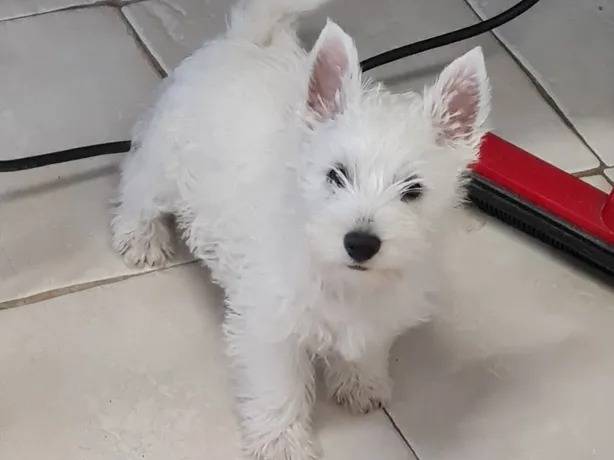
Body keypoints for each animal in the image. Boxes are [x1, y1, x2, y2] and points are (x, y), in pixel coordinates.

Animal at [111, 0, 491, 458]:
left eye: (413, 189)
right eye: (336, 174)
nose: (361, 243)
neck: (345, 281)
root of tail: (246, 40)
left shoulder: (382, 311)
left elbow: (367, 346)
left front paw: (361, 382)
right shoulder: (270, 327)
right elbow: (279, 387)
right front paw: (281, 443)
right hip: (165, 163)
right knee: (137, 184)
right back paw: (140, 238)